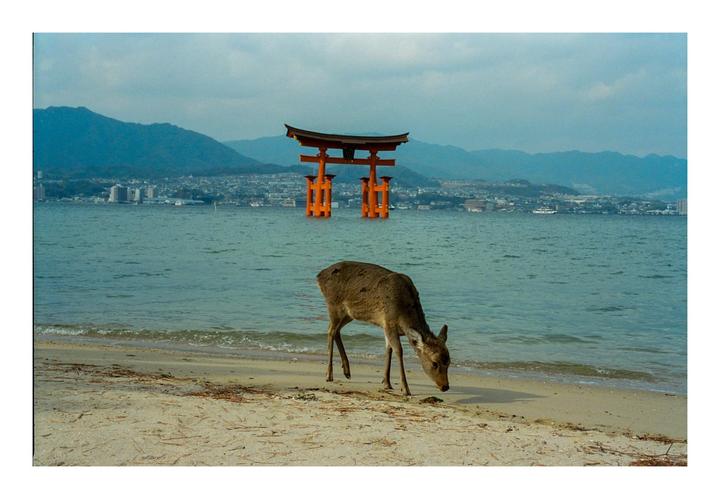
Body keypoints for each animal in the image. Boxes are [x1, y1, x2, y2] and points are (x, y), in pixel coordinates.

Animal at [316, 261, 450, 396]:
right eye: (434, 363)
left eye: (448, 362)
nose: (445, 386)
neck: (404, 315)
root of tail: (319, 276)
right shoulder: (389, 322)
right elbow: (398, 350)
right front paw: (405, 389)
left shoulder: (386, 326)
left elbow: (388, 349)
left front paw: (386, 382)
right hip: (334, 305)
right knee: (331, 331)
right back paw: (329, 374)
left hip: (349, 314)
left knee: (336, 330)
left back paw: (347, 371)